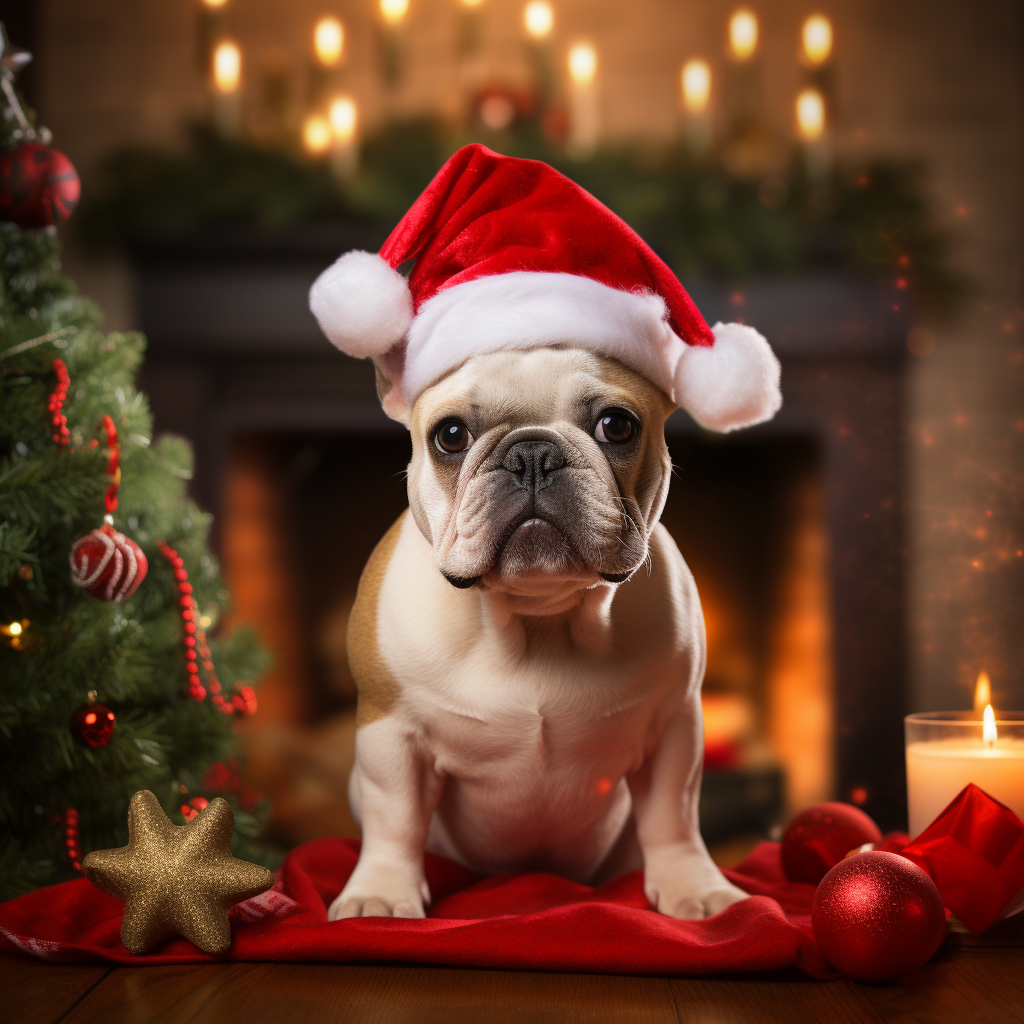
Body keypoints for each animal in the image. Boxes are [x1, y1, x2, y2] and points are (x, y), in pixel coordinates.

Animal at [331, 348, 749, 925]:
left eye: (617, 425)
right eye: (450, 435)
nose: (533, 454)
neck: (539, 615)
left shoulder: (673, 724)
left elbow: (673, 815)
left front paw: (694, 887)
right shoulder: (390, 729)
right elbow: (393, 817)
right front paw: (380, 896)